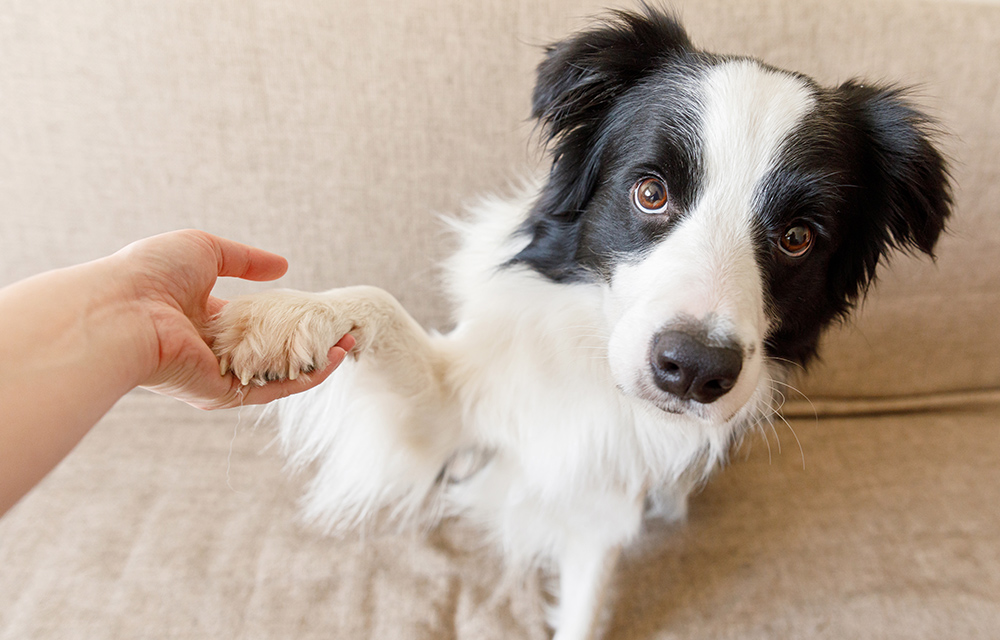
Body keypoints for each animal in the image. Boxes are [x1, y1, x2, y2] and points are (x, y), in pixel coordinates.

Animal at [209, 8, 944, 640]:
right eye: (651, 192)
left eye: (798, 238)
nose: (695, 370)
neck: (598, 375)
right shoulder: (453, 412)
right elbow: (377, 304)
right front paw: (279, 317)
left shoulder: (606, 497)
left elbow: (587, 600)